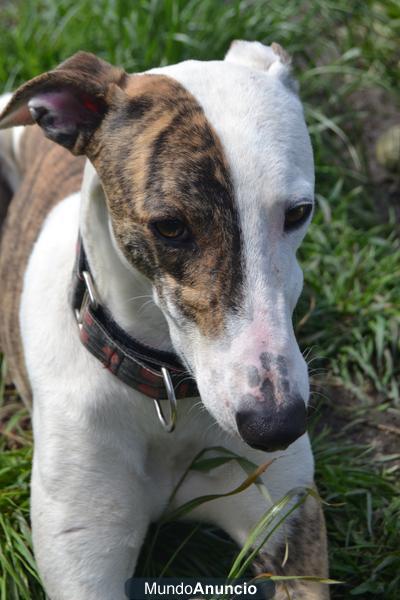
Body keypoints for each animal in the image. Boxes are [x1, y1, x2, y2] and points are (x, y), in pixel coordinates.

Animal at [0, 39, 328, 596]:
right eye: (170, 226)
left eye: (299, 212)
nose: (275, 426)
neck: (163, 386)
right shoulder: (83, 560)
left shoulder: (290, 528)